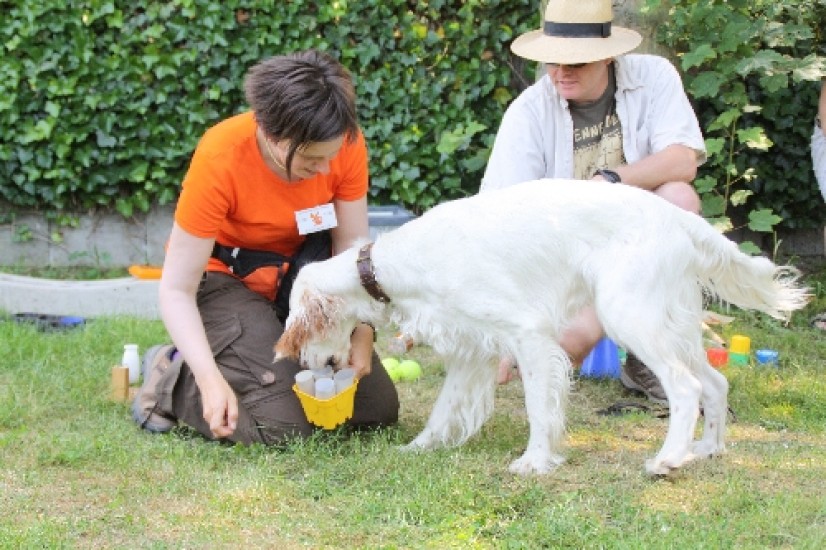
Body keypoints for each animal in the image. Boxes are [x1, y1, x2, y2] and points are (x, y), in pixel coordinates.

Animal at [275, 179, 809, 476]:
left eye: (300, 331)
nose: (305, 363)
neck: (392, 264)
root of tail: (677, 217)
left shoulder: (527, 335)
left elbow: (538, 407)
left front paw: (534, 462)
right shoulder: (471, 353)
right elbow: (444, 410)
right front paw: (419, 448)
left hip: (630, 316)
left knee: (685, 387)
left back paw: (668, 459)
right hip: (672, 323)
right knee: (715, 383)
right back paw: (708, 448)